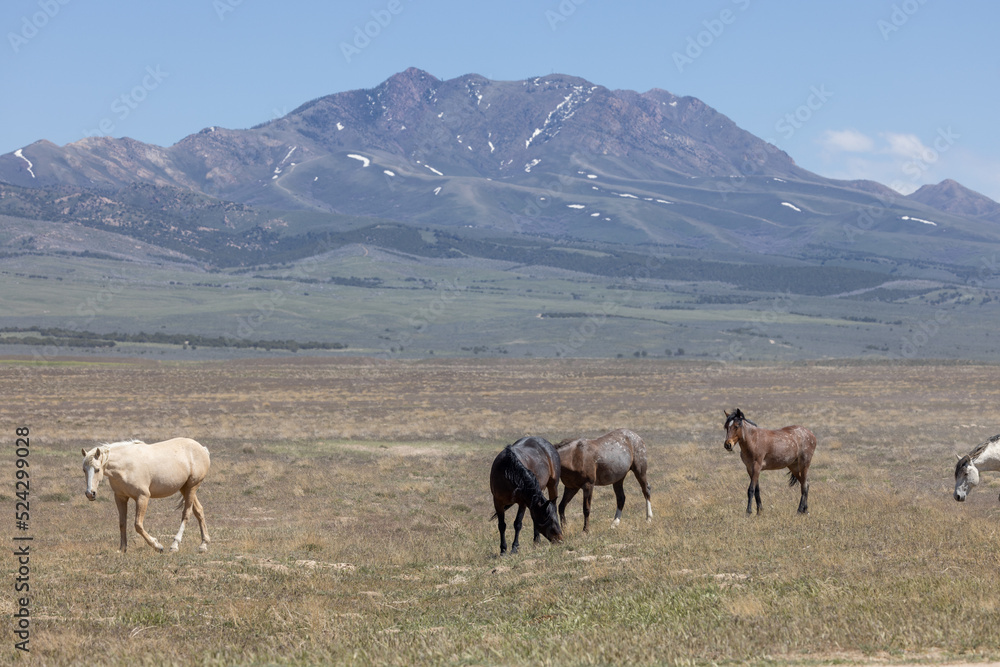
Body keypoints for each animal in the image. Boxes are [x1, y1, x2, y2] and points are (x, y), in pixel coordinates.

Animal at [81, 438, 211, 553]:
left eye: (97, 469)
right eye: (84, 470)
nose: (90, 493)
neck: (126, 466)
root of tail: (202, 449)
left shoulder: (142, 497)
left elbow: (138, 525)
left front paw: (157, 546)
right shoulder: (120, 497)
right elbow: (122, 523)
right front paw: (122, 549)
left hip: (192, 487)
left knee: (186, 514)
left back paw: (175, 545)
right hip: (185, 488)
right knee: (199, 511)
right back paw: (203, 545)